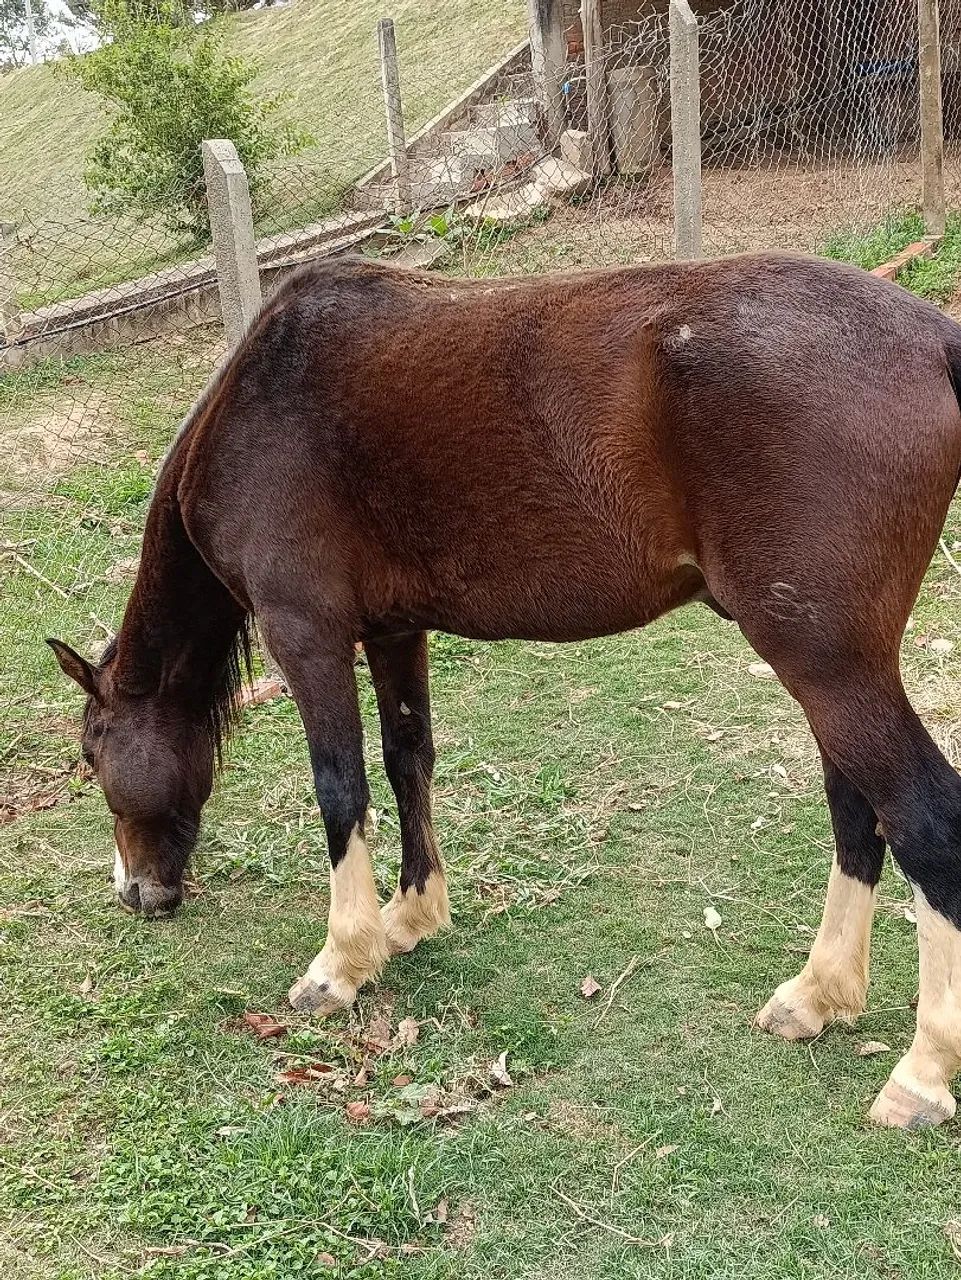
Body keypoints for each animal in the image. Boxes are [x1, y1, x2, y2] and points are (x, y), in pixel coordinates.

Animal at [49, 252, 961, 1130]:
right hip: (831, 677)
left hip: (828, 669)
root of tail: (930, 338)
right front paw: (411, 916)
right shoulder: (392, 631)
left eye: (92, 756)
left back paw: (919, 1075)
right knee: (856, 815)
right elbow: (406, 759)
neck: (257, 406)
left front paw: (341, 962)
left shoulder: (306, 637)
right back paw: (815, 996)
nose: (134, 892)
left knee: (924, 821)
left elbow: (341, 790)